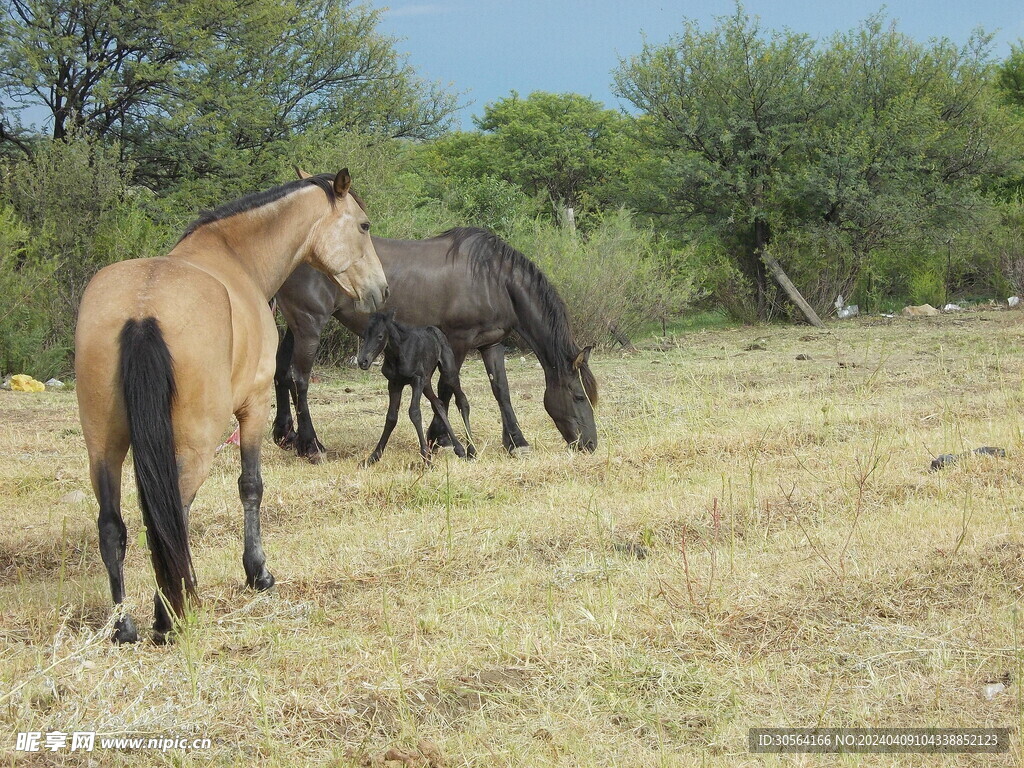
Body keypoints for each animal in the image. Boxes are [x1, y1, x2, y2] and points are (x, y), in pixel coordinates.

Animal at [74, 171, 387, 647]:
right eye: (364, 226)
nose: (381, 289)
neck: (234, 258)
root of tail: (142, 311)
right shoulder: (254, 408)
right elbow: (251, 486)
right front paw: (258, 573)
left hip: (103, 449)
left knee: (112, 527)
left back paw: (124, 627)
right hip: (193, 447)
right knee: (172, 521)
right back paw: (169, 616)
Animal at [356, 309, 475, 466]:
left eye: (380, 336)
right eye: (364, 335)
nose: (362, 361)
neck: (398, 354)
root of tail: (436, 330)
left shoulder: (417, 380)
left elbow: (415, 412)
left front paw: (426, 459)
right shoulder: (394, 383)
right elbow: (391, 417)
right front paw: (373, 457)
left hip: (448, 373)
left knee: (462, 401)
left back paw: (471, 451)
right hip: (427, 381)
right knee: (439, 404)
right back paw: (459, 449)